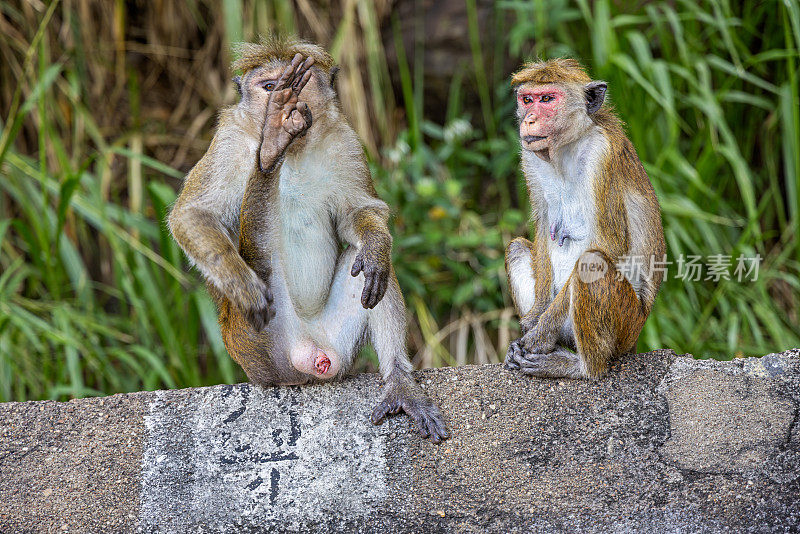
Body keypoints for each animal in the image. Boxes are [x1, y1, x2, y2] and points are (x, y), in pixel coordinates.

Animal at [168, 37, 446, 444]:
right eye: (270, 85)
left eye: (301, 81)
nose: (285, 102)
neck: (297, 149)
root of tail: (306, 359)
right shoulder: (228, 141)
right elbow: (193, 215)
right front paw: (241, 282)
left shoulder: (345, 140)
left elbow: (359, 213)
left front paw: (376, 244)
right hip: (260, 348)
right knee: (261, 246)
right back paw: (269, 153)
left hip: (335, 345)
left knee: (366, 267)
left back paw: (399, 381)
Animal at [504, 58, 664, 382]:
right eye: (527, 100)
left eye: (547, 99)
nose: (529, 120)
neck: (565, 149)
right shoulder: (530, 156)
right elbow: (543, 229)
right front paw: (534, 320)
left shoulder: (602, 155)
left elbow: (608, 244)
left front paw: (540, 334)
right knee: (517, 248)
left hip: (626, 325)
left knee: (592, 263)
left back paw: (580, 366)